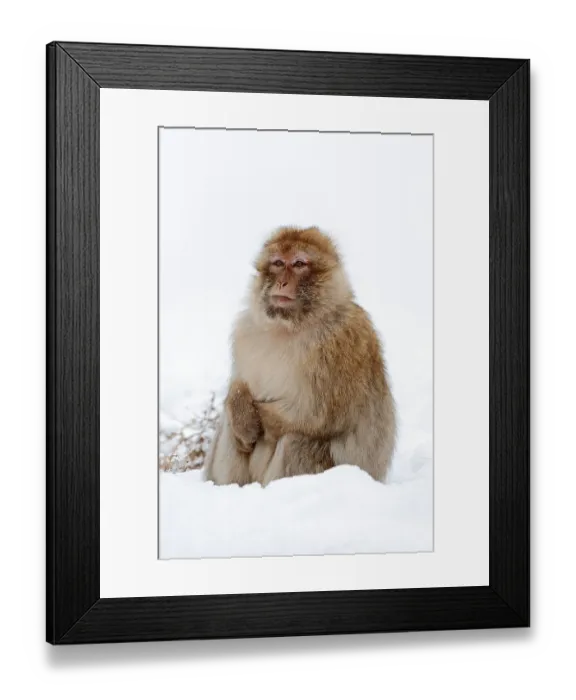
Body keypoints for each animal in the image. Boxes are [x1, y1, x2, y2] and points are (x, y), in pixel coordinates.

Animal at [203, 225, 397, 487]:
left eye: (298, 264)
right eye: (277, 263)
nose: (282, 282)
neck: (289, 327)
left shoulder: (341, 345)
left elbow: (317, 416)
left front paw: (257, 418)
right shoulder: (245, 332)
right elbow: (239, 386)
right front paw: (241, 410)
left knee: (298, 441)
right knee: (229, 425)